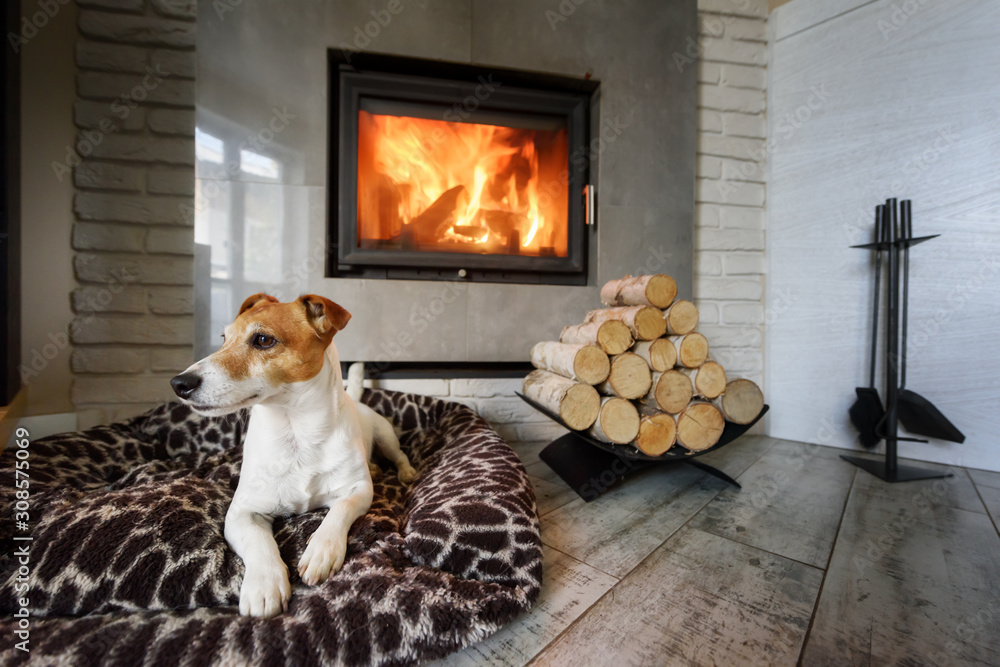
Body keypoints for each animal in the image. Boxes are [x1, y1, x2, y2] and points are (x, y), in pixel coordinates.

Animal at [171, 294, 418, 620]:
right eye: (224, 338)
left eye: (263, 340)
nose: (179, 383)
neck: (296, 433)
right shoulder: (240, 513)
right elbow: (259, 541)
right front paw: (264, 586)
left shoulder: (358, 491)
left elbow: (338, 511)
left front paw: (321, 550)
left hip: (385, 435)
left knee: (398, 455)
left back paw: (404, 472)